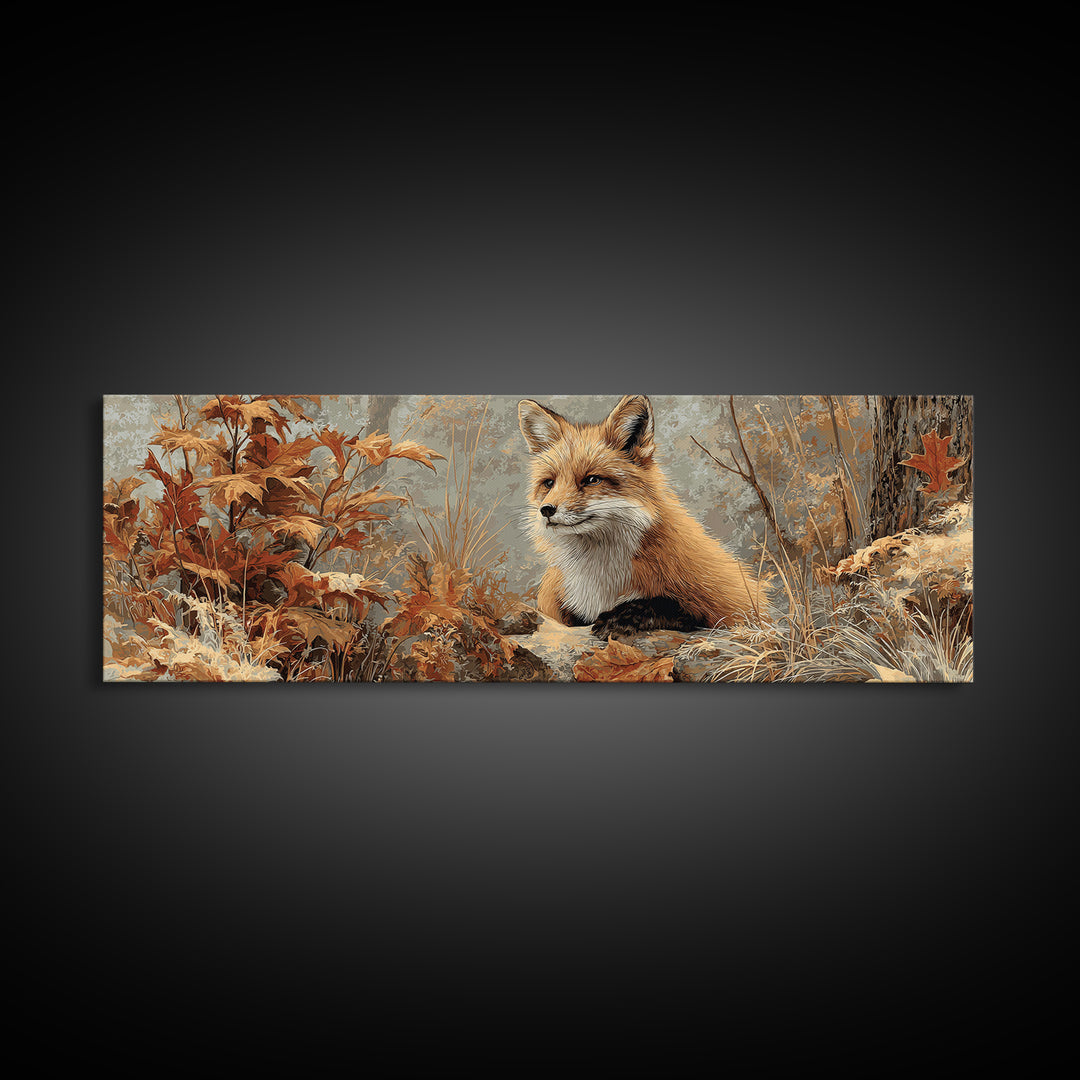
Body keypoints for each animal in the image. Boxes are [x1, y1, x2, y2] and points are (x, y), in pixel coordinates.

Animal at [518, 394, 765, 639]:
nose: (546, 510)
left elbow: (670, 606)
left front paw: (622, 617)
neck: (599, 577)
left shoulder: (732, 603)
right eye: (549, 483)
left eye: (592, 480)